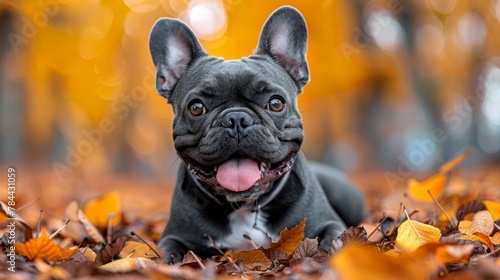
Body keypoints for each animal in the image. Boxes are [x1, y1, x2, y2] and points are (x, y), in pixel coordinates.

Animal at [147, 7, 364, 264]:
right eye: (196, 107)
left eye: (276, 103)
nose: (236, 119)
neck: (244, 207)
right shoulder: (174, 236)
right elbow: (167, 256)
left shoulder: (328, 224)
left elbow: (335, 242)